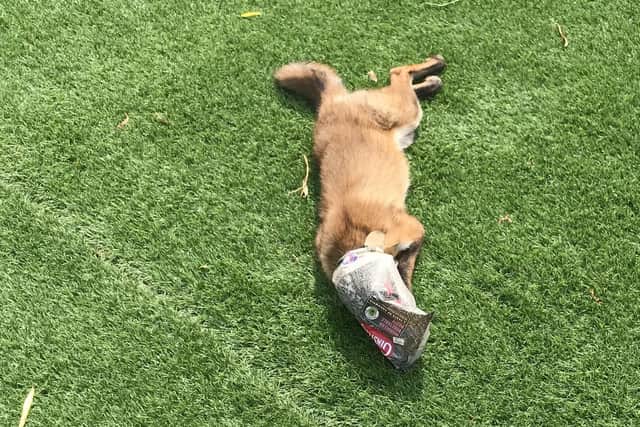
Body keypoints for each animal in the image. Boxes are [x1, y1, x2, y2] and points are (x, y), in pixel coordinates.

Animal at [275, 56, 445, 289]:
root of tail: (329, 103)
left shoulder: (413, 229)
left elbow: (405, 268)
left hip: (405, 112)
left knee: (399, 72)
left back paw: (437, 63)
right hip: (405, 119)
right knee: (404, 78)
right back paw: (432, 81)